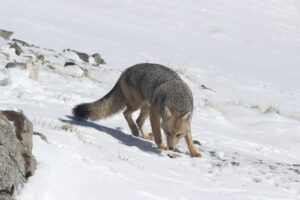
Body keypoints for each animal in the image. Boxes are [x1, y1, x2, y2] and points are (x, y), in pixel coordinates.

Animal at [71, 63, 200, 157]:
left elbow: (189, 139)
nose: (171, 148)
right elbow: (158, 132)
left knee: (138, 120)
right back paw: (134, 130)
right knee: (126, 113)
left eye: (179, 135)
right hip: (138, 105)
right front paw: (161, 145)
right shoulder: (154, 113)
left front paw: (194, 152)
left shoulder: (188, 123)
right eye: (168, 133)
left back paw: (144, 135)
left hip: (146, 106)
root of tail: (126, 70)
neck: (178, 96)